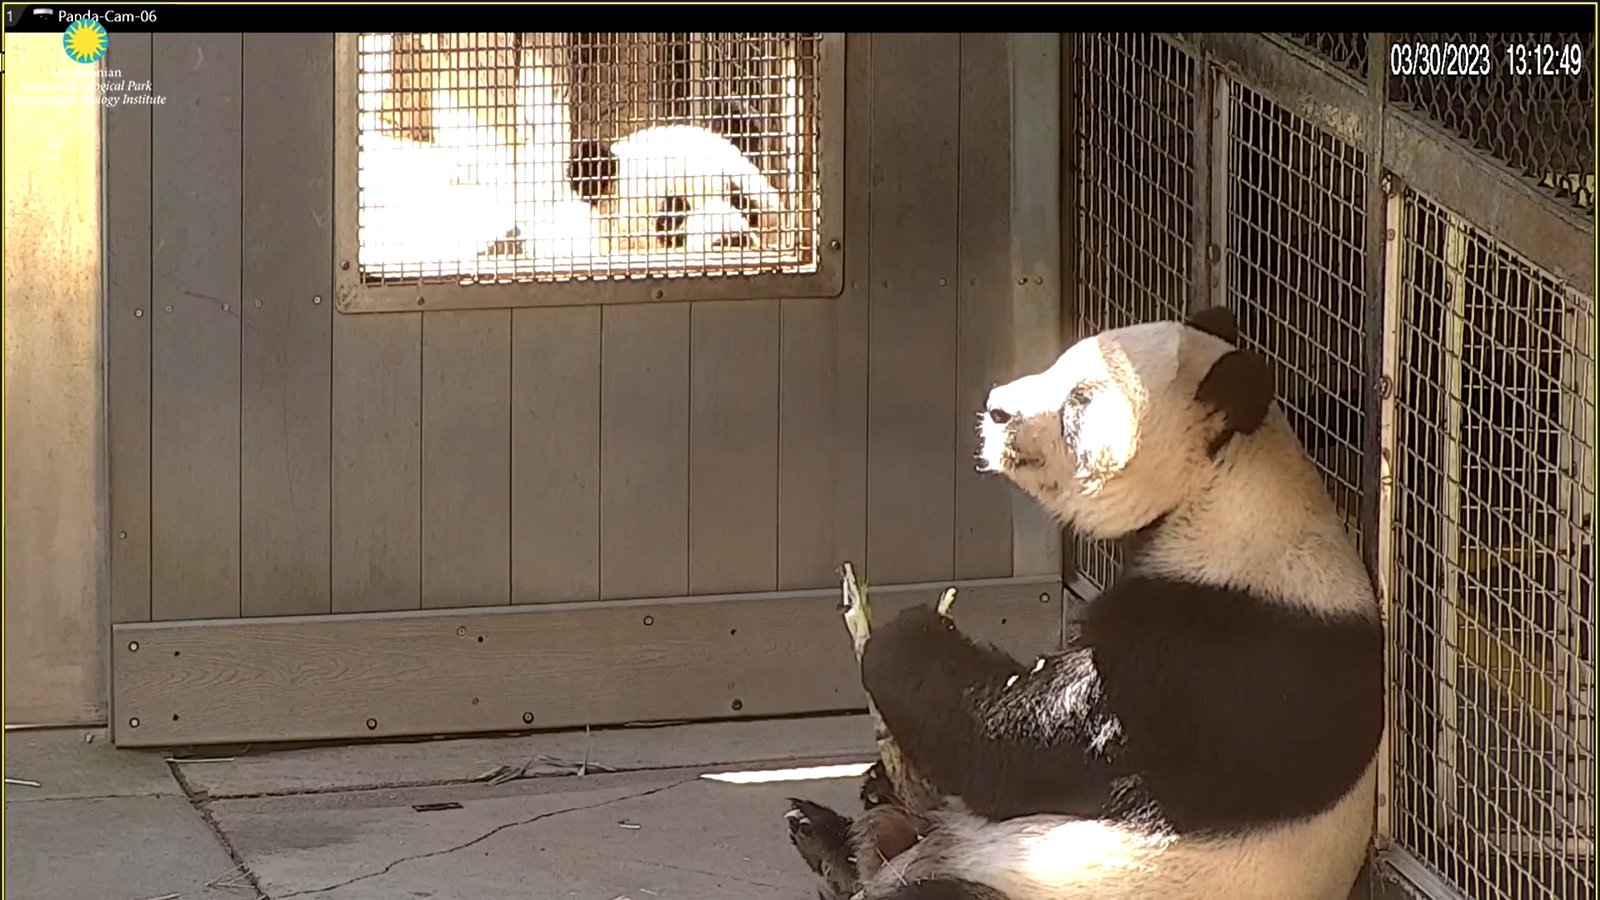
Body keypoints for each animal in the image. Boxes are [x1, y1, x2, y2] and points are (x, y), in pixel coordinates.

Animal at [785, 306, 1385, 900]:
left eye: (1080, 400)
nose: (997, 410)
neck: (1233, 492)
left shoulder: (1216, 662)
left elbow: (1020, 742)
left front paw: (903, 638)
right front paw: (879, 771)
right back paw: (831, 833)